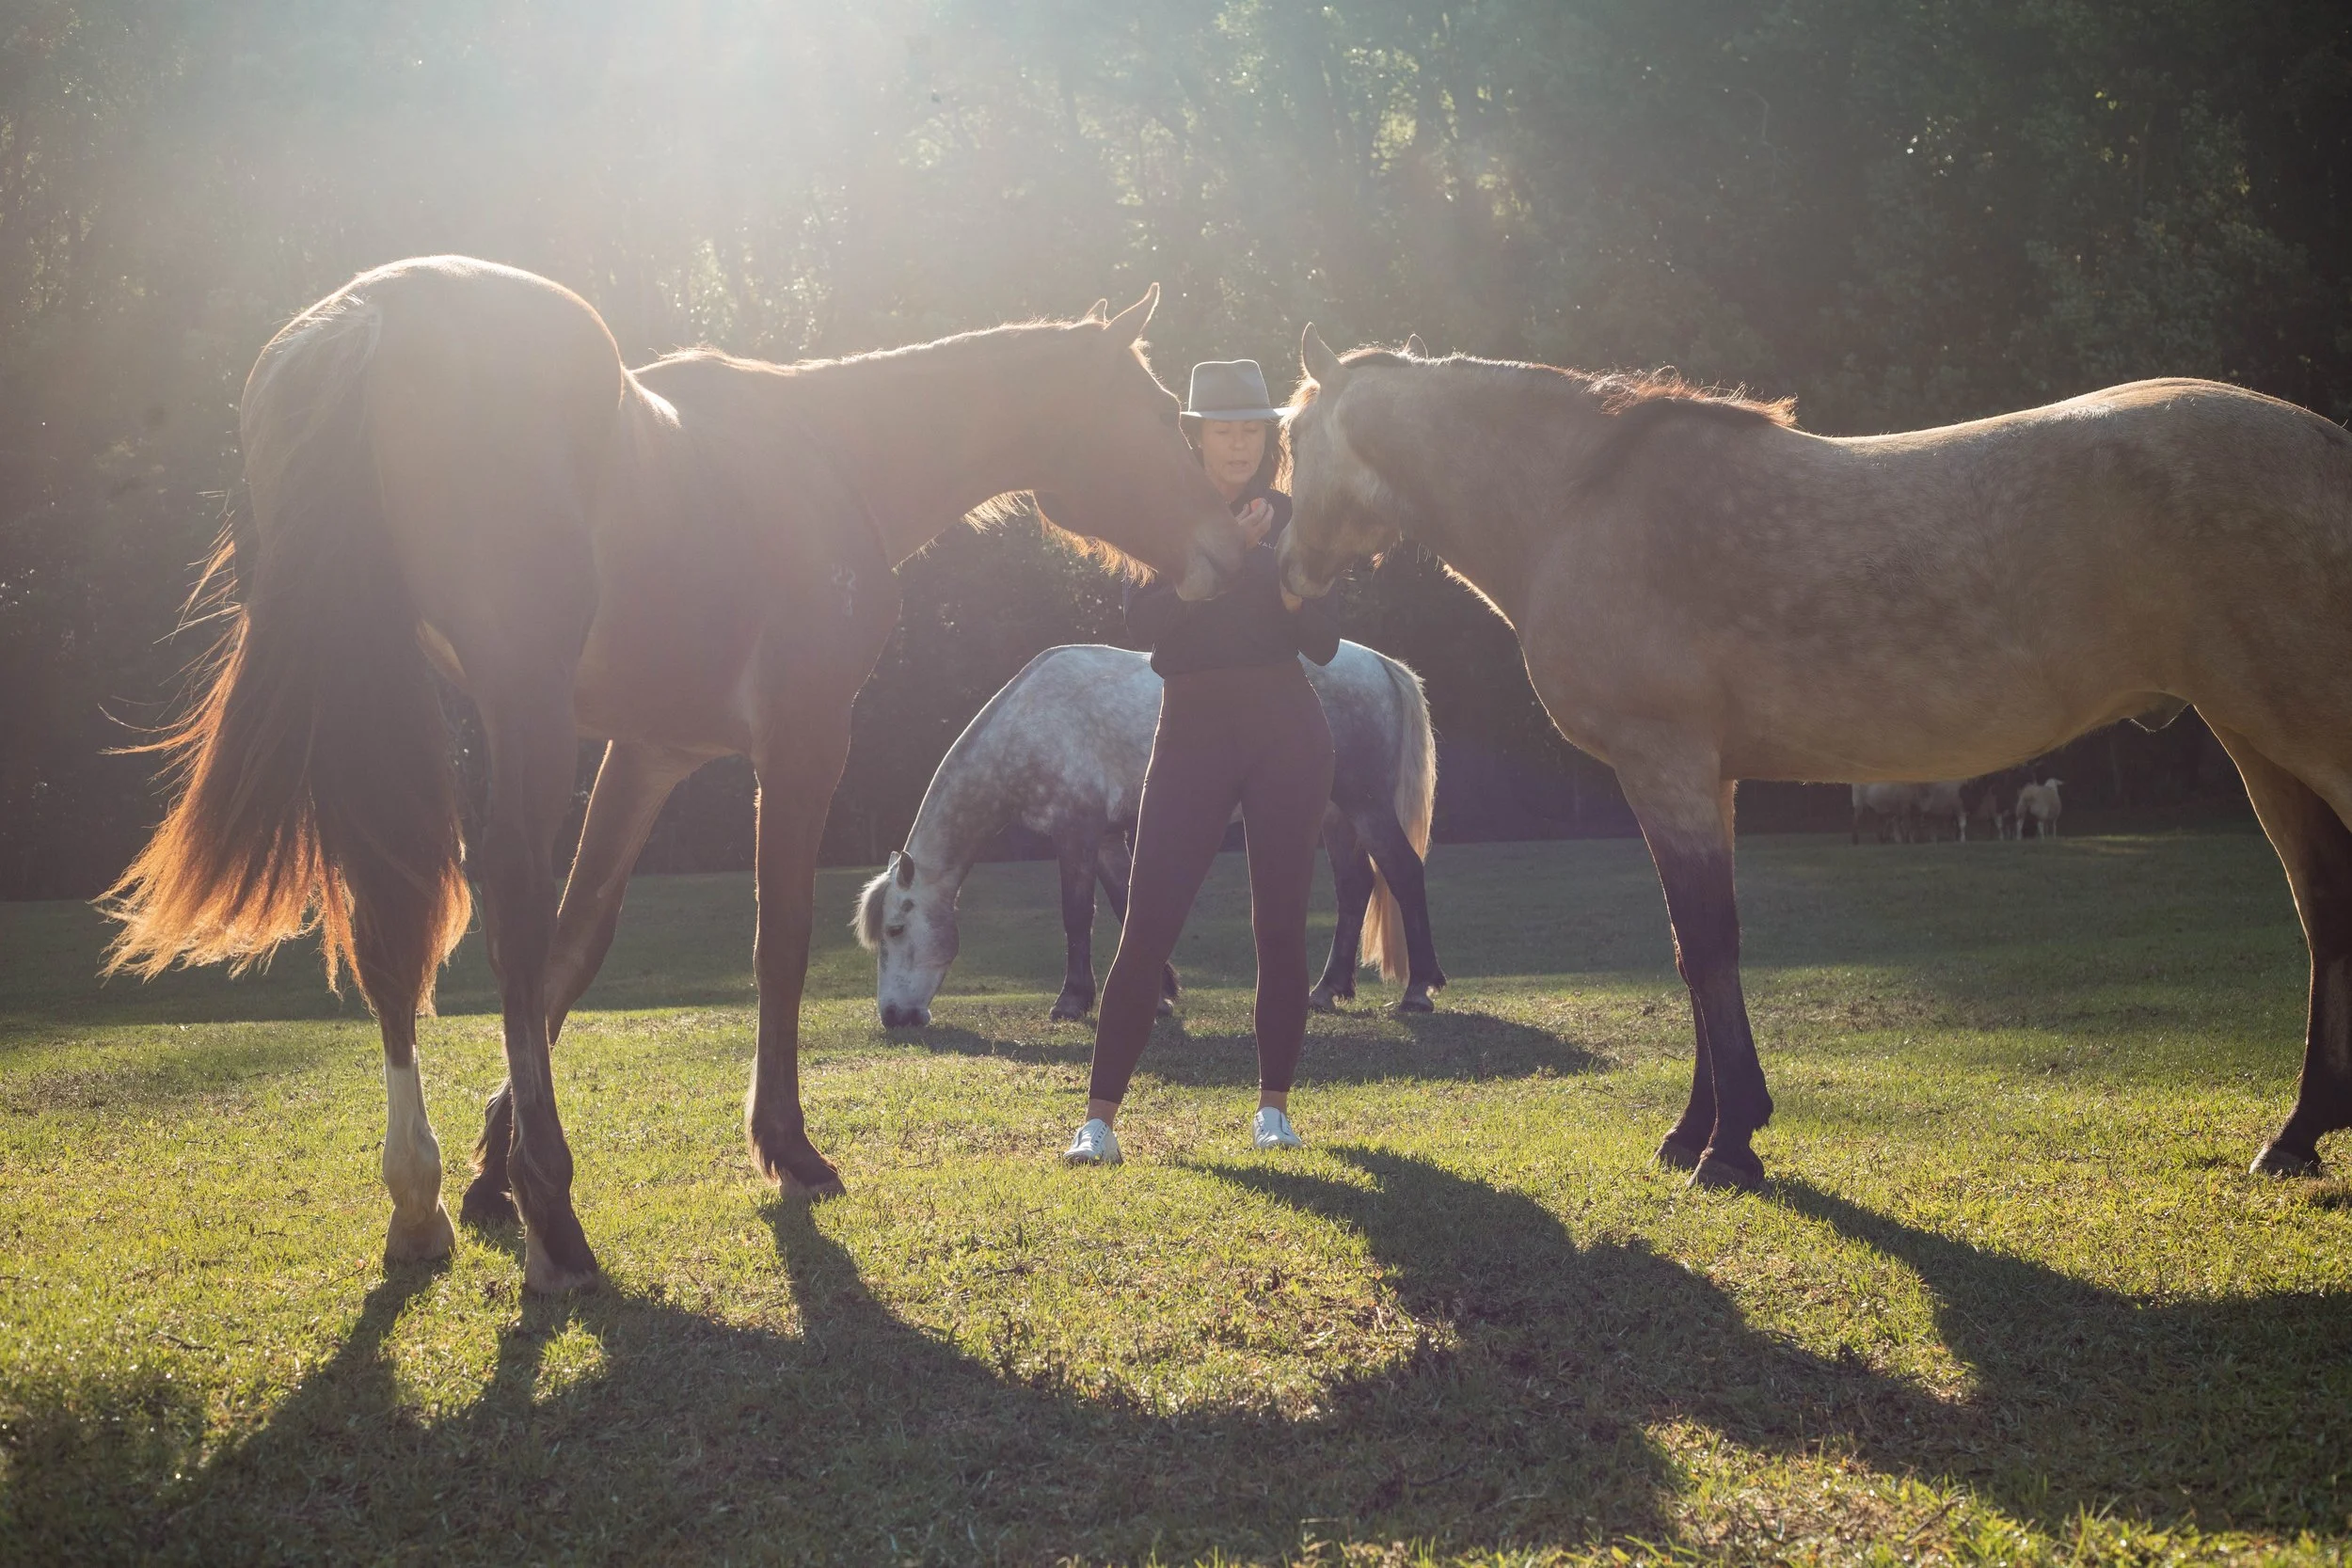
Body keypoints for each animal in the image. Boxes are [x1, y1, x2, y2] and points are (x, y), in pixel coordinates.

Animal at [100, 255, 1244, 1293]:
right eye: (1158, 414)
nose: (1227, 546)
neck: (831, 453)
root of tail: (368, 316)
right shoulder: (801, 743)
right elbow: (774, 938)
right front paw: (785, 1148)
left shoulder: (646, 755)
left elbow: (581, 943)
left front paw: (487, 1173)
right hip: (520, 707)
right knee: (507, 904)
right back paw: (557, 1218)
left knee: (399, 924)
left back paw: (423, 1201)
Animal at [854, 641, 1444, 1027]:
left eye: (896, 930)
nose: (894, 1016)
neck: (1032, 721)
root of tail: (1379, 664)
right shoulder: (1109, 839)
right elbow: (1128, 907)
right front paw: (1161, 993)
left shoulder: (1076, 832)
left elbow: (1078, 915)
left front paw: (1072, 1001)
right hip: (1335, 815)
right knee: (1354, 888)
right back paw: (1327, 990)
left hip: (1364, 804)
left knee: (1404, 872)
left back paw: (1418, 990)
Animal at [1280, 328, 2352, 1190]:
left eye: (1291, 442)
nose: (1286, 575)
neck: (1577, 502)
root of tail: (2323, 442)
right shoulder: (1707, 775)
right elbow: (1697, 948)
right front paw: (1700, 1128)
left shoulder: (1664, 764)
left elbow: (1706, 942)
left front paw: (1725, 1148)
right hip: (2260, 743)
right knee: (2324, 916)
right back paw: (2296, 1135)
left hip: (2300, 734)